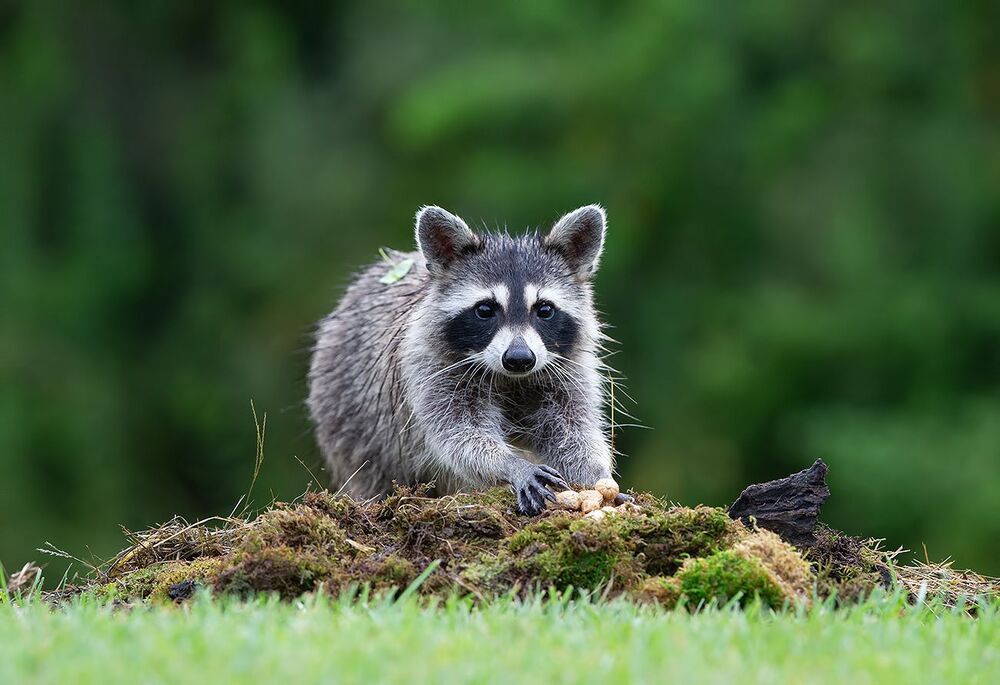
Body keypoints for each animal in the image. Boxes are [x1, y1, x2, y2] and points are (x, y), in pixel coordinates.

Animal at [307, 205, 615, 515]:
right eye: (485, 310)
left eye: (545, 310)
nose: (519, 358)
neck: (510, 379)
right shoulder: (428, 367)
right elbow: (458, 434)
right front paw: (510, 464)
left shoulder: (568, 369)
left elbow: (572, 428)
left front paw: (595, 473)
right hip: (350, 423)